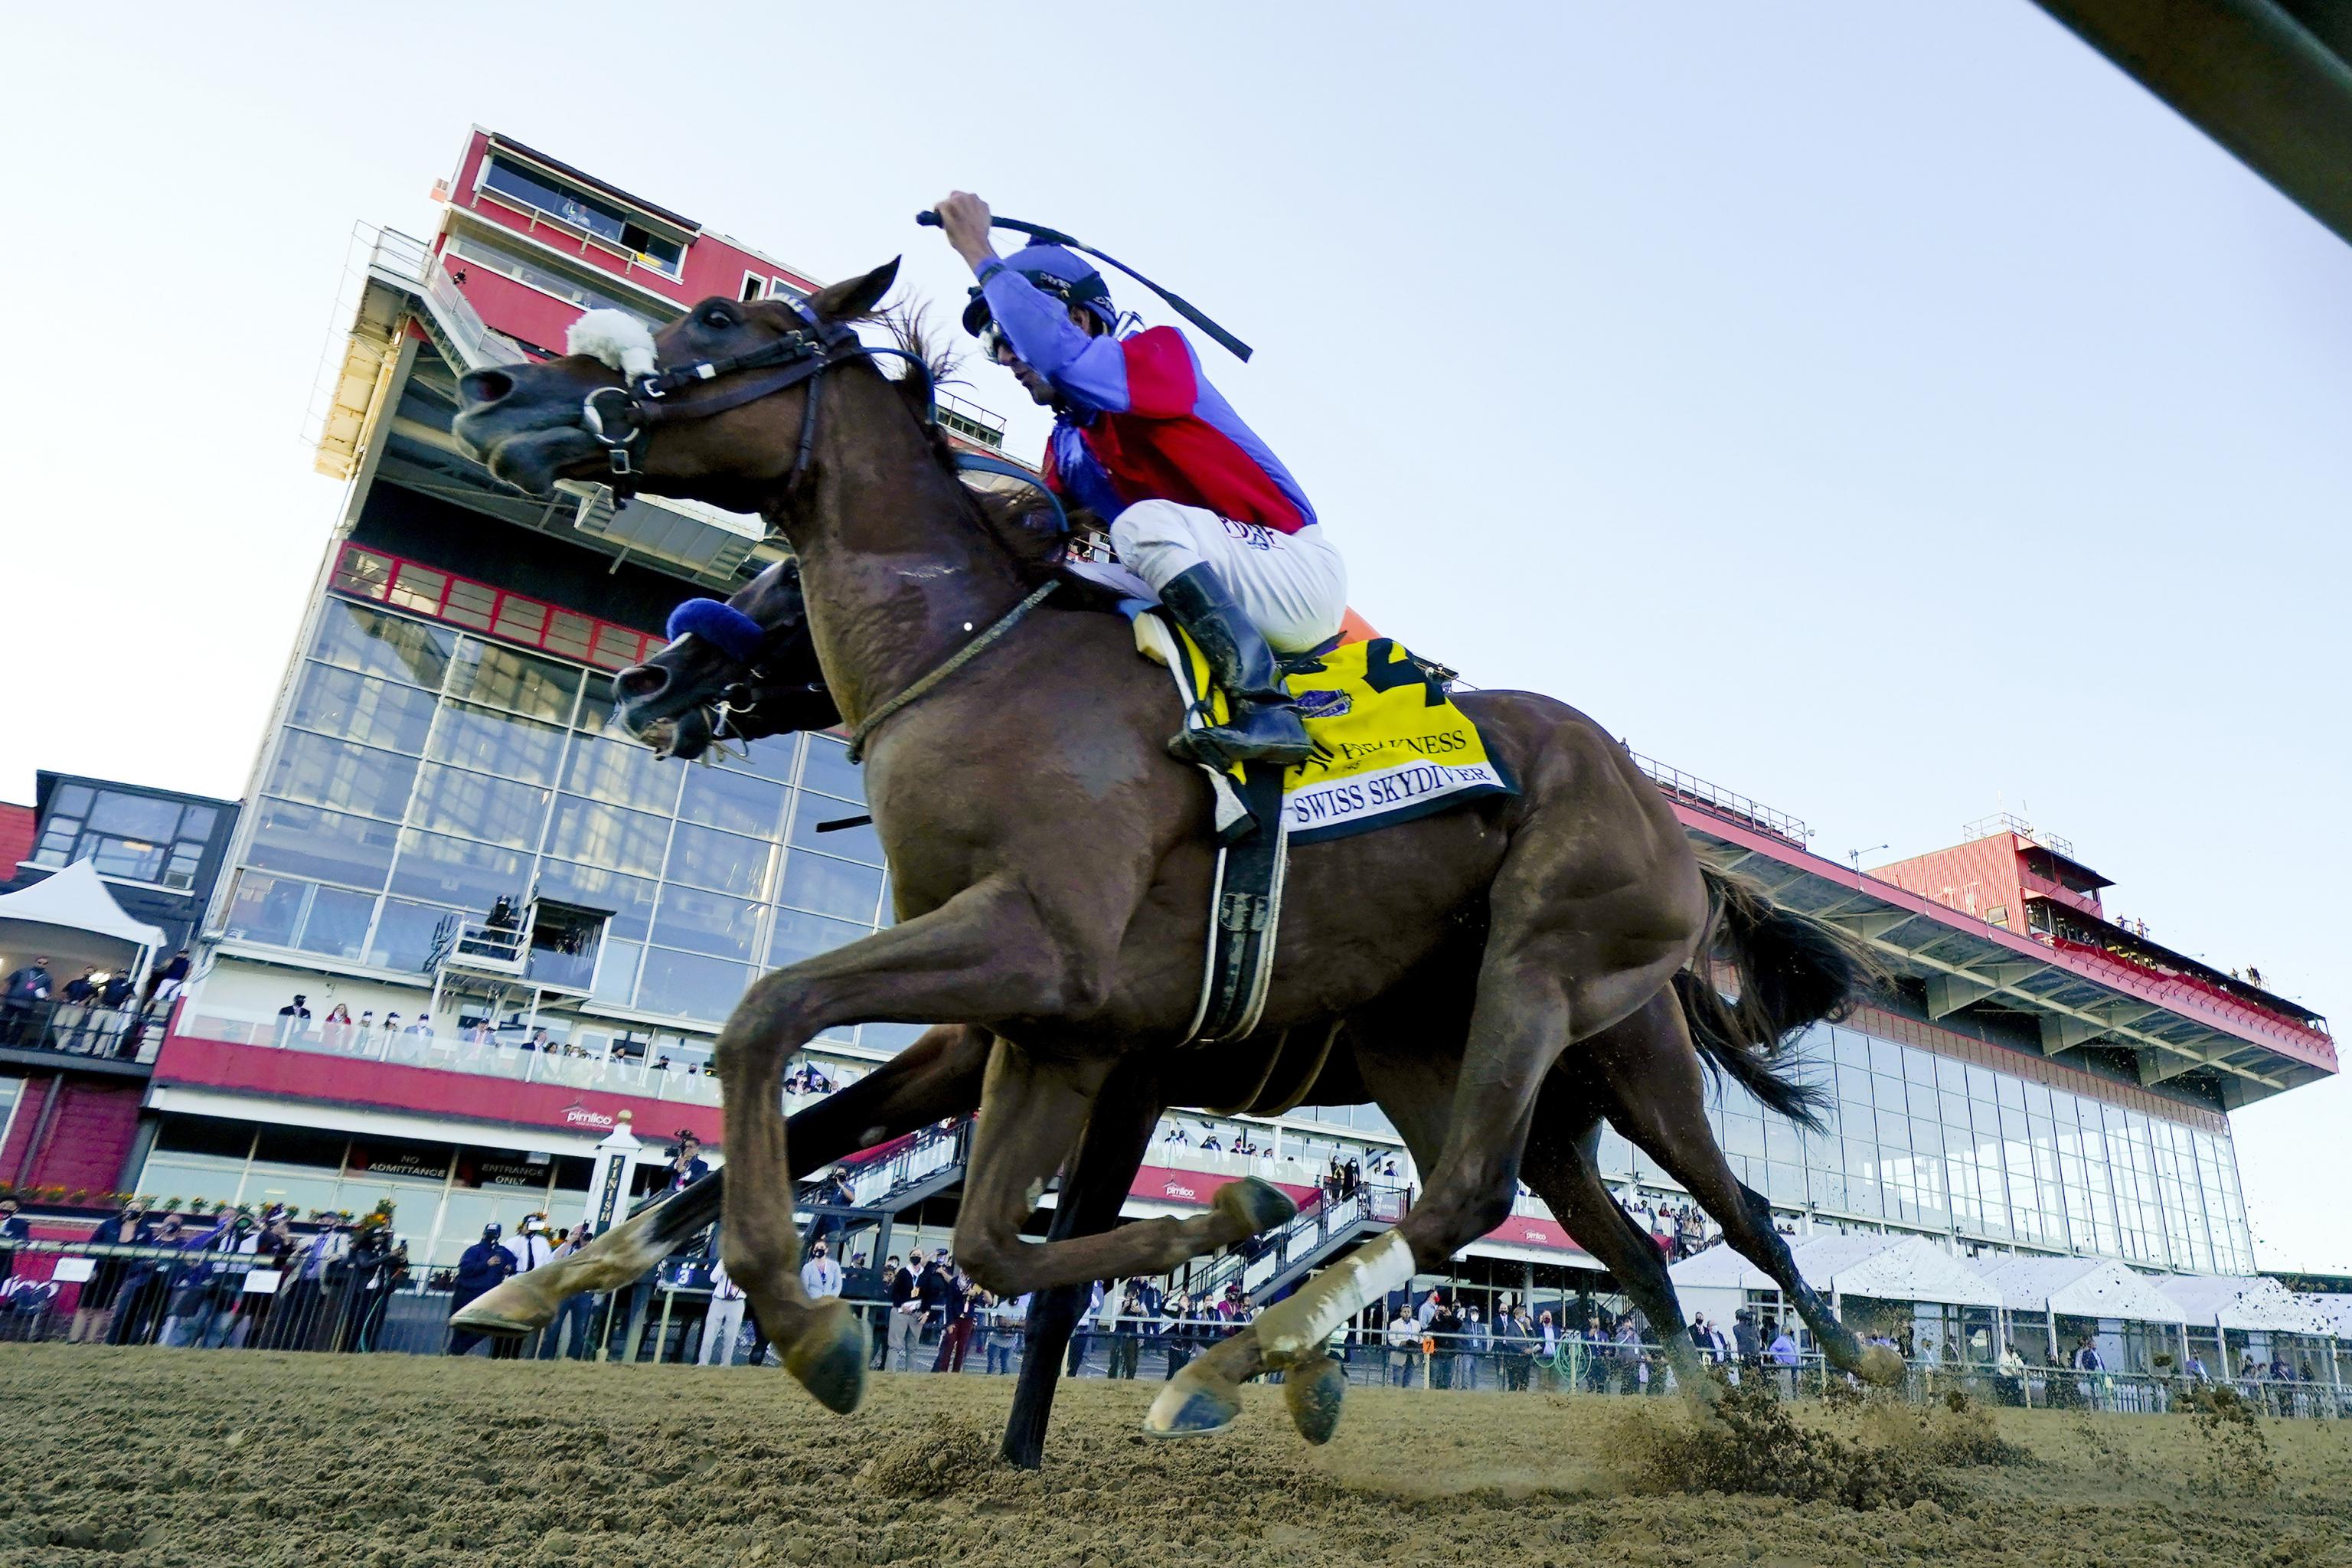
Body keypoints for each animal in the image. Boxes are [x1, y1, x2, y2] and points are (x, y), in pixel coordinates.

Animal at [449, 263, 1863, 1439]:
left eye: (714, 321)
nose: (496, 389)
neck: (989, 658)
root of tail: (1676, 830)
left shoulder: (1051, 968)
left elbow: (769, 1024)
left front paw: (807, 1320)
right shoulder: (1020, 1020)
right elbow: (863, 1150)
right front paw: (551, 1283)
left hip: (1574, 994)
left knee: (1622, 1207)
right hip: (1447, 1049)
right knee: (1613, 1239)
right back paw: (1704, 1418)